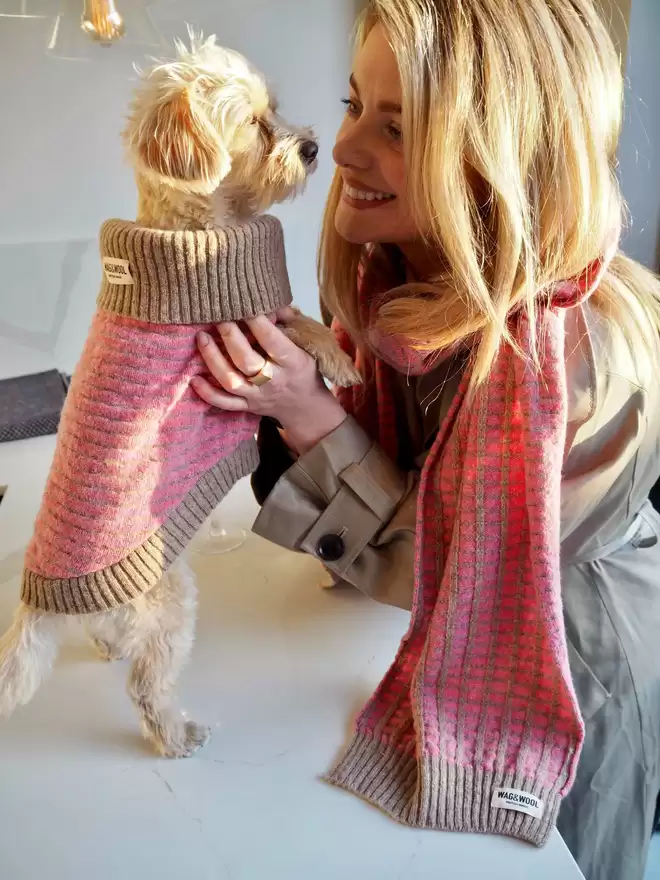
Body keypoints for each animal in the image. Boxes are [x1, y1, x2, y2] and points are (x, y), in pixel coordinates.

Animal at [0, 34, 358, 756]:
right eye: (255, 125)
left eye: (276, 111)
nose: (312, 146)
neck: (195, 232)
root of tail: (38, 598)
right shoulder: (244, 324)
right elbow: (300, 322)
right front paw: (339, 355)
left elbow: (299, 319)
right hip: (166, 597)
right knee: (146, 683)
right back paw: (173, 732)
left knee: (107, 627)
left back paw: (108, 645)